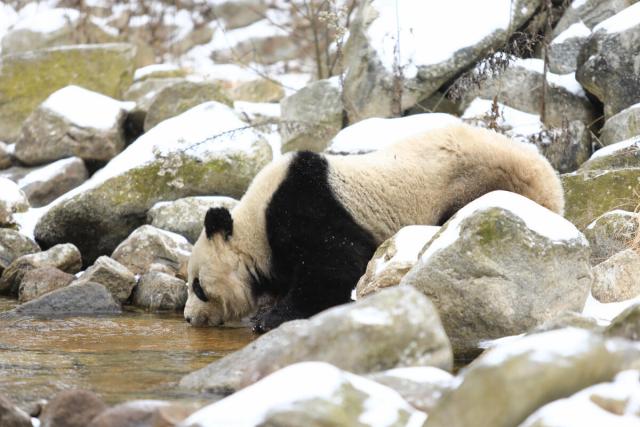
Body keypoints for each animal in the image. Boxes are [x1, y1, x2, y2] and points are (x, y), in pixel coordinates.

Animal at [185, 123, 564, 332]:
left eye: (198, 286)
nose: (188, 318)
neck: (254, 225)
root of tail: (551, 186)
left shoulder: (307, 209)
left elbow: (334, 266)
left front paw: (273, 319)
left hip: (476, 181)